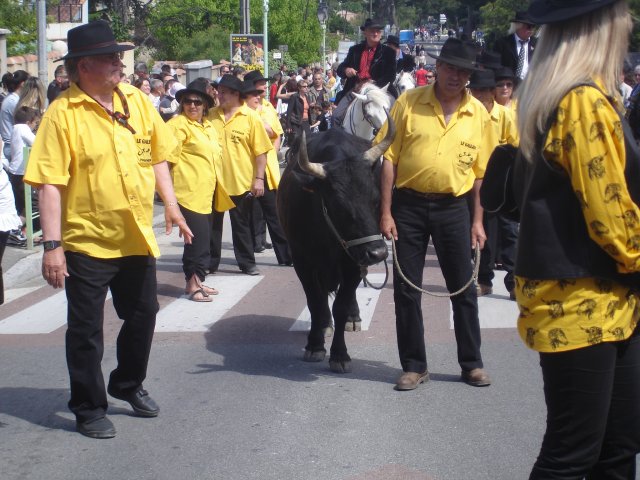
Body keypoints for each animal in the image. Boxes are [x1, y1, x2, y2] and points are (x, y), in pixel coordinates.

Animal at [276, 121, 396, 376]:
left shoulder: (352, 262)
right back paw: (324, 325)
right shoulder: (303, 261)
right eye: (339, 205)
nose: (378, 253)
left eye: (376, 199)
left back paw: (353, 317)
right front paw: (315, 345)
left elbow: (340, 305)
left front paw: (340, 354)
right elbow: (315, 301)